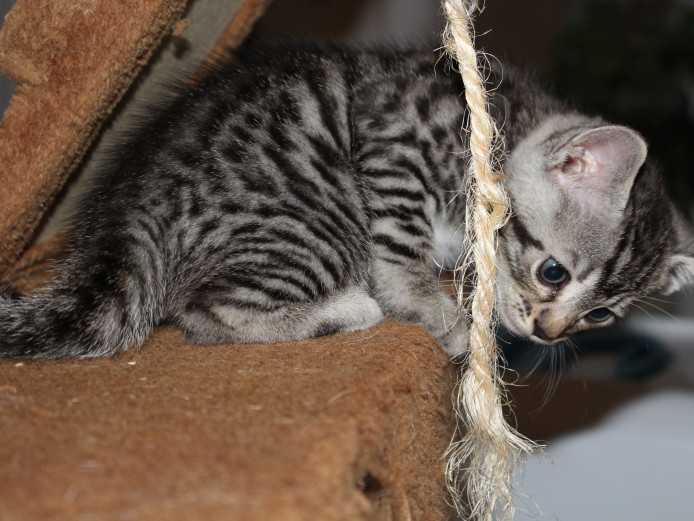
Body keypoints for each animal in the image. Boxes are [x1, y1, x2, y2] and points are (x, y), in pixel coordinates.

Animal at [1, 45, 694, 358]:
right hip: (318, 221)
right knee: (206, 312)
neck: (506, 127)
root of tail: (130, 209)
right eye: (554, 272)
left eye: (600, 316)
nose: (549, 334)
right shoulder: (396, 135)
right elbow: (401, 247)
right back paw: (348, 309)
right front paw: (430, 306)